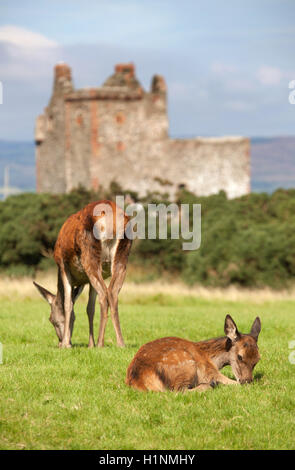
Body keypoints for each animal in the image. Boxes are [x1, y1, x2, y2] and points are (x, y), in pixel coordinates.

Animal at [33, 200, 132, 346]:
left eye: (51, 319)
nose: (60, 341)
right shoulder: (88, 281)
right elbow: (90, 308)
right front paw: (90, 344)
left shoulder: (63, 267)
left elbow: (68, 304)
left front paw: (66, 345)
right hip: (122, 258)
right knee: (112, 293)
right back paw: (120, 343)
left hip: (89, 254)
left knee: (104, 294)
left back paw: (101, 343)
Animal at [126, 316, 262, 392]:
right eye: (240, 356)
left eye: (258, 359)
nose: (247, 380)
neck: (212, 358)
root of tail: (139, 379)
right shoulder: (208, 370)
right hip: (186, 365)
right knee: (178, 391)